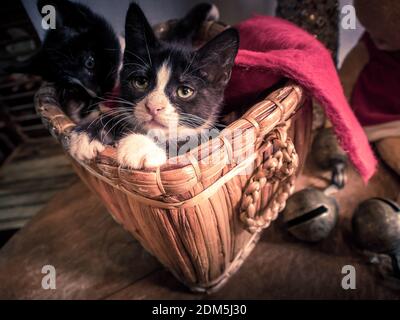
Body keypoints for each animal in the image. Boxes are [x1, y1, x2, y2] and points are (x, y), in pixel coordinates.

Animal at [69, 2, 239, 169]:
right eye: (141, 82)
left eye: (185, 91)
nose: (153, 107)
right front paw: (88, 134)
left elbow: (195, 144)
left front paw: (139, 145)